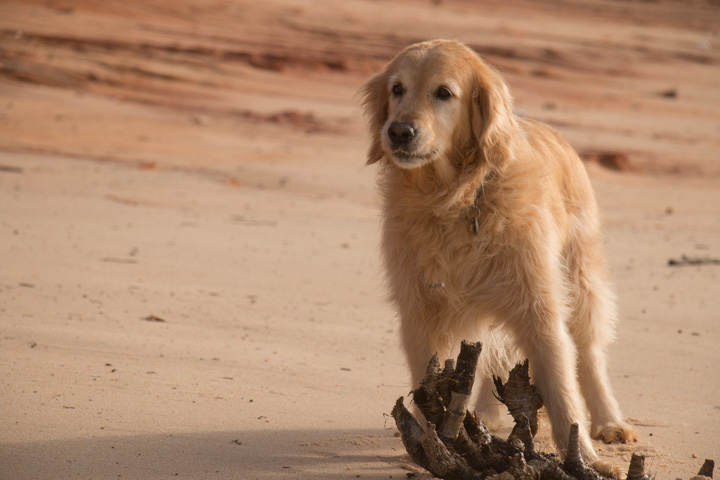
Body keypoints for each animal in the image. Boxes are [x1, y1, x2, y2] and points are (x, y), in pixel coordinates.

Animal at [360, 39, 636, 470]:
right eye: (397, 89)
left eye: (444, 93)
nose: (399, 132)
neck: (458, 198)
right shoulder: (420, 308)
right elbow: (428, 381)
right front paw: (429, 445)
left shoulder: (538, 305)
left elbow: (562, 386)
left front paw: (587, 461)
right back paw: (487, 414)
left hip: (580, 279)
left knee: (589, 355)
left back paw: (610, 422)